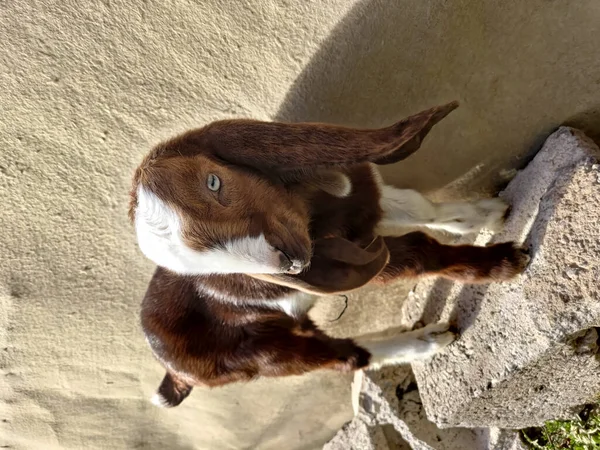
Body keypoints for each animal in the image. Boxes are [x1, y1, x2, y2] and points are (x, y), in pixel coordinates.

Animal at [129, 103, 528, 408]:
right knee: (341, 358)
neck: (317, 214)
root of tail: (170, 370)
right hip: (255, 356)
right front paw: (503, 263)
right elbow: (418, 250)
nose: (290, 265)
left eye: (213, 182)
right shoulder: (360, 255)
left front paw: (489, 213)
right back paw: (426, 340)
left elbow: (420, 207)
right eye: (213, 270)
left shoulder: (363, 211)